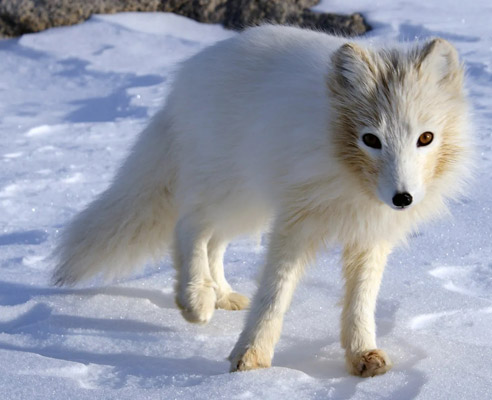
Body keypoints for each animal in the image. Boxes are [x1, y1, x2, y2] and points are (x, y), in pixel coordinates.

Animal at [52, 25, 470, 378]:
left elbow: (361, 301)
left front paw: (362, 355)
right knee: (190, 226)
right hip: (233, 191)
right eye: (371, 139)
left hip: (249, 206)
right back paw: (195, 299)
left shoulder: (371, 235)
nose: (403, 198)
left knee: (214, 241)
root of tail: (189, 74)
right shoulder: (295, 223)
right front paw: (251, 358)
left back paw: (220, 295)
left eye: (425, 138)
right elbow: (274, 293)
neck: (351, 180)